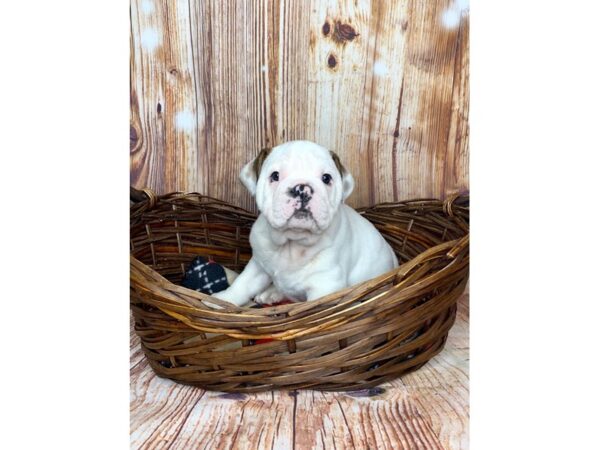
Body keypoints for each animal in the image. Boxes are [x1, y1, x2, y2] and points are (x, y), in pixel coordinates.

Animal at [213, 142, 400, 306]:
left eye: (326, 178)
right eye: (275, 176)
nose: (302, 189)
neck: (293, 243)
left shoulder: (326, 286)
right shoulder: (258, 265)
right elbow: (242, 284)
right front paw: (223, 300)